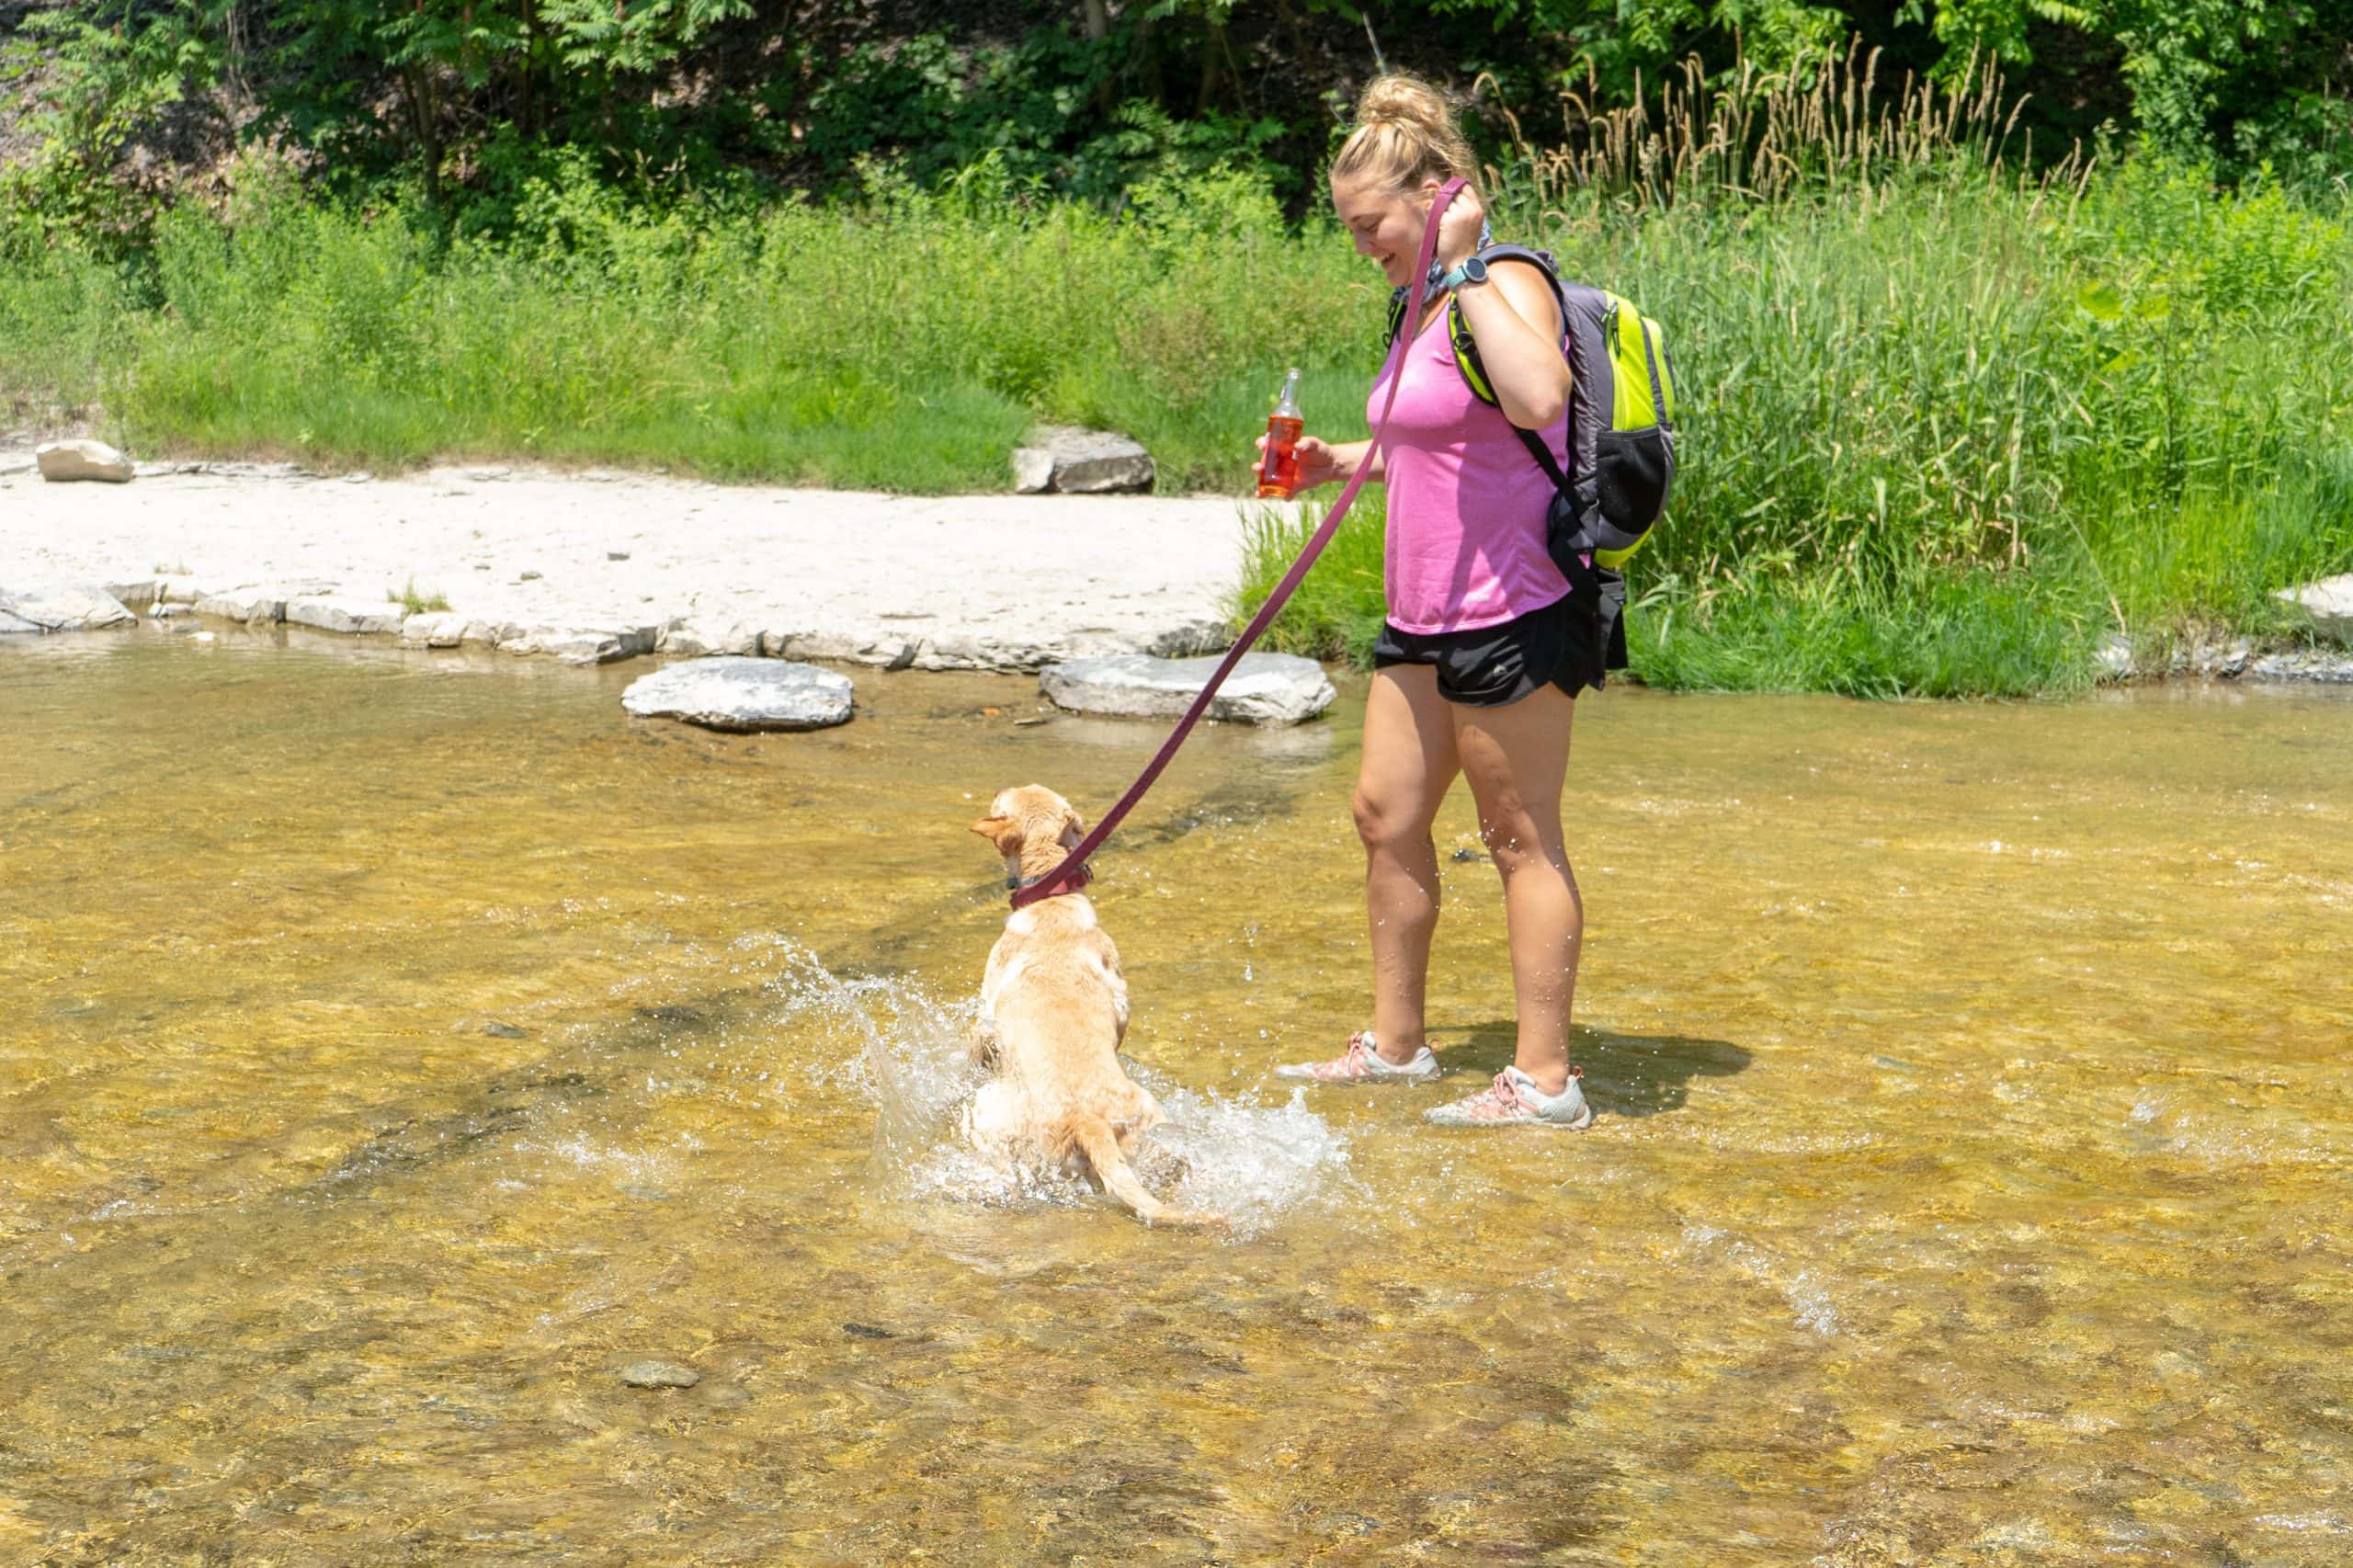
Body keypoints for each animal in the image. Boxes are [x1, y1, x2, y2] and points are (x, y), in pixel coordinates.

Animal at [964, 786, 1223, 1224]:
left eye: (1003, 800)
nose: (997, 788)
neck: (1052, 903)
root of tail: (1088, 1121)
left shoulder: (987, 1012)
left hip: (989, 1115)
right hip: (1151, 1126)